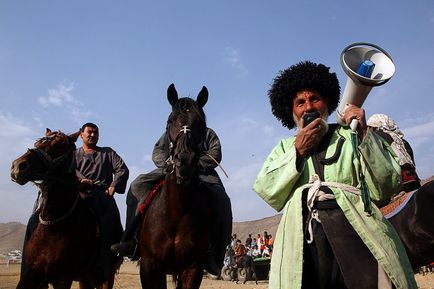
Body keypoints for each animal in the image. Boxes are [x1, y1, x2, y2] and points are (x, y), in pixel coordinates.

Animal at [10, 129, 117, 288]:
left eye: (60, 146)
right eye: (37, 143)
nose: (18, 166)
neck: (54, 227)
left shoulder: (62, 279)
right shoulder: (30, 274)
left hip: (106, 276)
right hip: (84, 278)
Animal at [138, 83, 211, 288]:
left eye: (201, 123)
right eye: (170, 121)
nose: (184, 161)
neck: (177, 207)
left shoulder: (193, 268)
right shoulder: (149, 267)